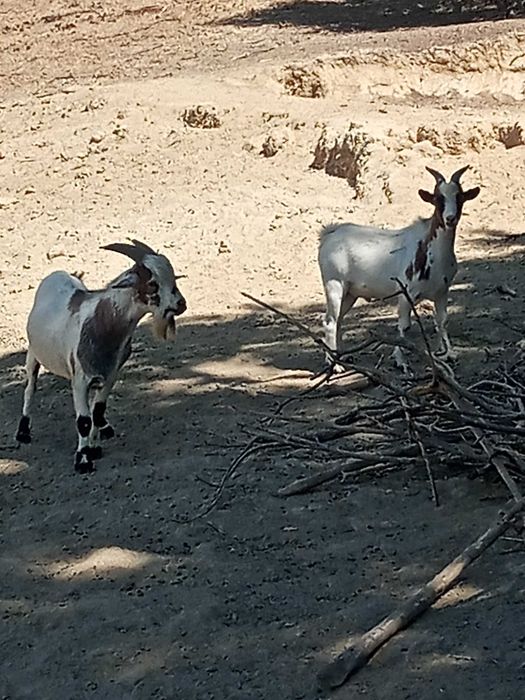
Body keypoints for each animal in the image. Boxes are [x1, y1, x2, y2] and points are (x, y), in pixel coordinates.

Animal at [16, 239, 187, 473]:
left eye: (172, 277)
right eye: (152, 283)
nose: (181, 304)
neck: (102, 321)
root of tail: (59, 273)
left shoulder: (109, 375)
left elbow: (97, 412)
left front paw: (94, 449)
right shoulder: (80, 380)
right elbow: (84, 420)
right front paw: (83, 460)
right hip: (33, 354)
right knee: (30, 389)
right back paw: (23, 432)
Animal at [318, 165, 480, 369]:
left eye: (459, 197)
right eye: (437, 198)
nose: (450, 218)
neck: (429, 249)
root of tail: (328, 234)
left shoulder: (442, 291)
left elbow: (442, 321)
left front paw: (447, 354)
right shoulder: (406, 293)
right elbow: (404, 326)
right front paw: (401, 361)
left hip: (350, 292)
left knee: (338, 320)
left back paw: (342, 357)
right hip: (334, 284)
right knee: (330, 321)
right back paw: (335, 364)